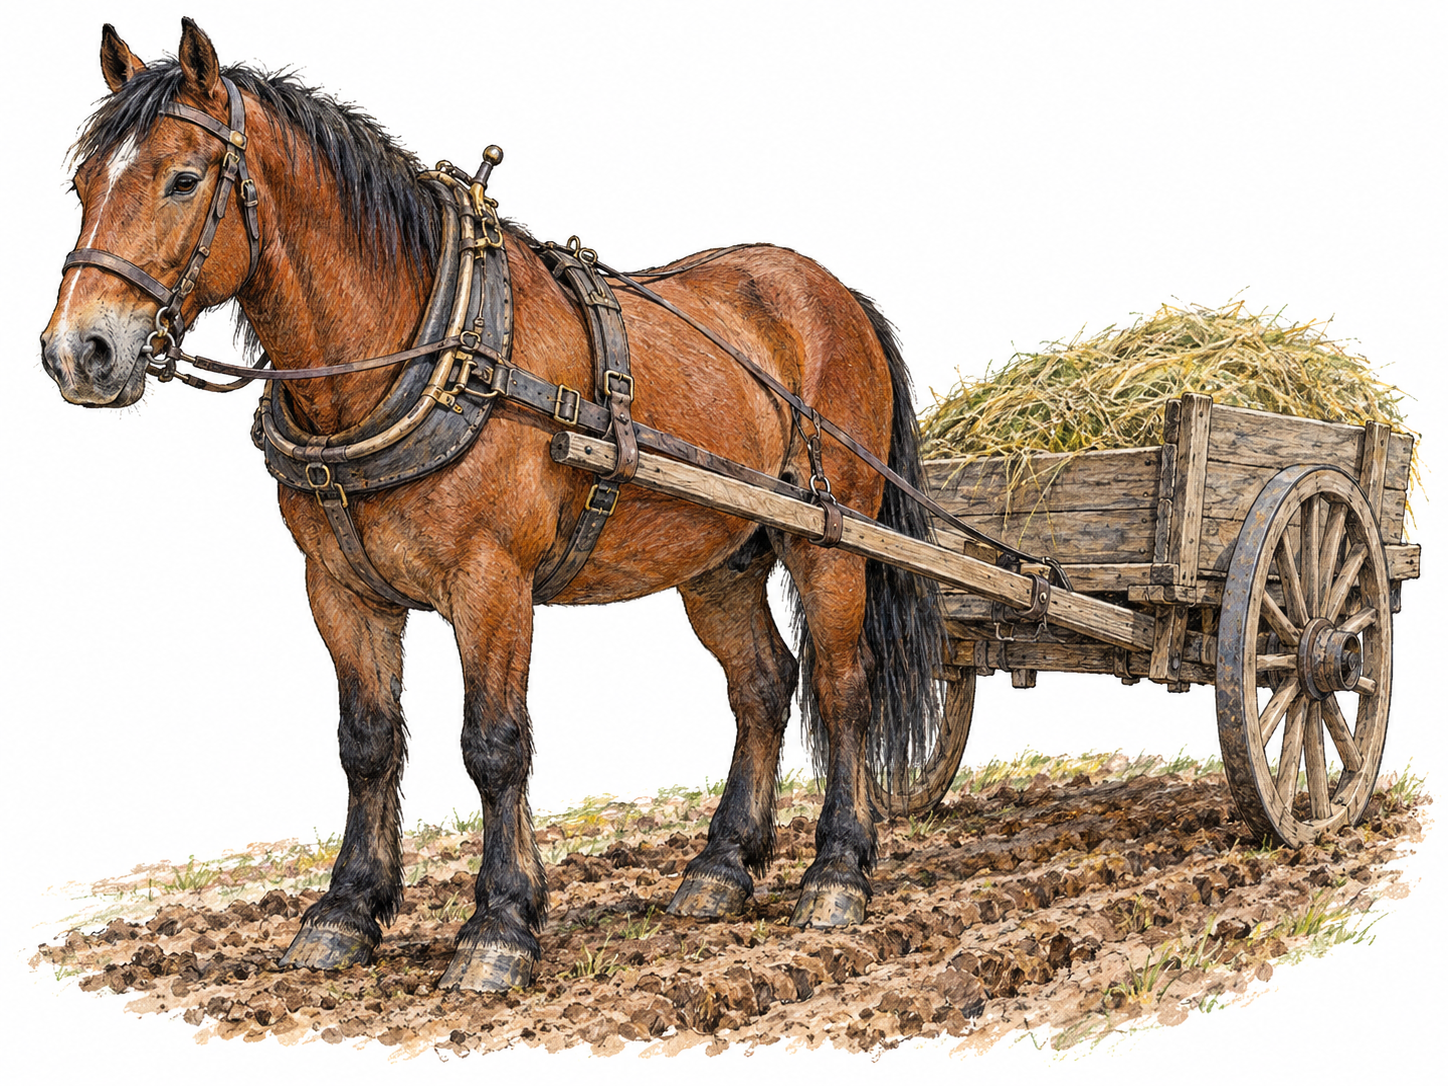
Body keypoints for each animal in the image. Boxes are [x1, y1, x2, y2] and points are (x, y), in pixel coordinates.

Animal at [39, 19, 943, 991]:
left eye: (182, 178)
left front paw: (501, 925)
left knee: (843, 685)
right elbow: (366, 742)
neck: (423, 346)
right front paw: (344, 911)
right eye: (83, 184)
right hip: (719, 556)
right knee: (763, 685)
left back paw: (838, 872)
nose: (78, 352)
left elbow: (495, 744)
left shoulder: (491, 584)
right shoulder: (340, 590)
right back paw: (720, 867)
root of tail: (834, 294)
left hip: (830, 540)